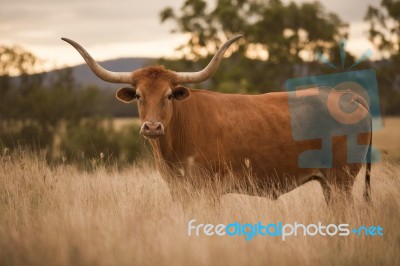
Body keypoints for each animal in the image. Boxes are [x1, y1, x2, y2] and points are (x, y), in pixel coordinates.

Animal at [61, 35, 372, 204]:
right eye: (138, 95)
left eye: (169, 95)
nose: (152, 126)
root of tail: (346, 95)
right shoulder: (179, 191)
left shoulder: (208, 191)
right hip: (329, 184)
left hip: (341, 180)